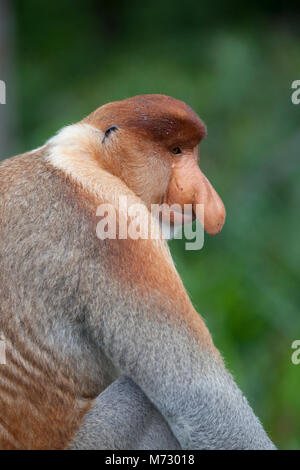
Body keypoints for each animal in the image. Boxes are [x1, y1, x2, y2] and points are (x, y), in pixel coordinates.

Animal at [0, 94, 276, 448]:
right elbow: (198, 398)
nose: (207, 198)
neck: (88, 156)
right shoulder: (121, 220)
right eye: (176, 150)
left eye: (190, 151)